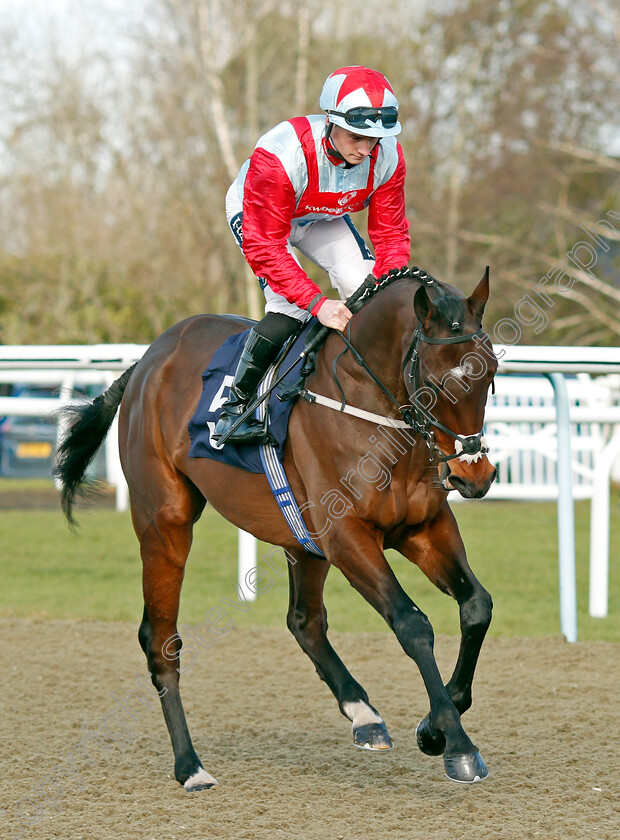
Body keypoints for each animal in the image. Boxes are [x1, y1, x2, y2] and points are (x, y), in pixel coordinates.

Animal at [53, 268, 498, 788]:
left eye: (491, 372)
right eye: (434, 379)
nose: (475, 474)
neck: (369, 407)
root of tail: (148, 359)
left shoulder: (422, 526)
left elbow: (477, 606)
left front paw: (433, 727)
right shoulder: (346, 535)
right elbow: (412, 624)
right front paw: (457, 743)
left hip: (300, 540)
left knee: (304, 621)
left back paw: (364, 715)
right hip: (164, 522)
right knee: (159, 639)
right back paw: (190, 765)